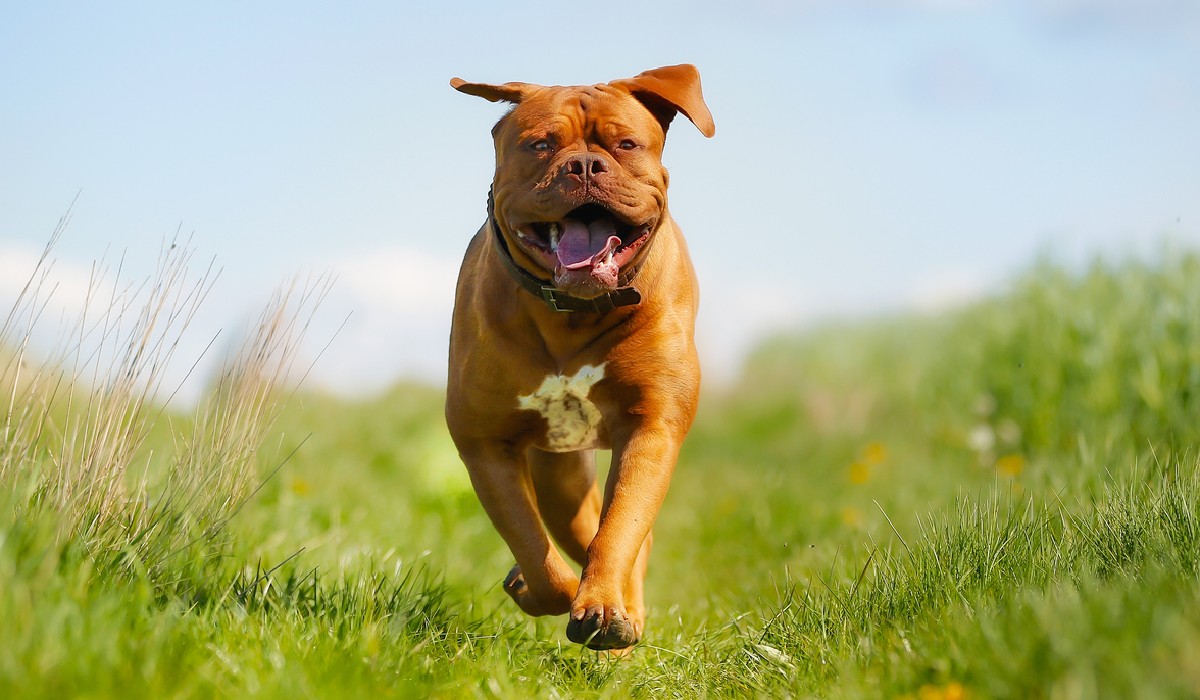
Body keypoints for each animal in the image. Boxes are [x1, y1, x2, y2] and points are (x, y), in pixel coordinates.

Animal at [448, 65, 710, 653]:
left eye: (626, 144)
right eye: (541, 144)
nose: (585, 164)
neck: (574, 312)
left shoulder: (651, 427)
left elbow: (621, 526)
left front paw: (606, 606)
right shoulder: (485, 443)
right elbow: (531, 545)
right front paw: (550, 590)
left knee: (624, 537)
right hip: (558, 478)